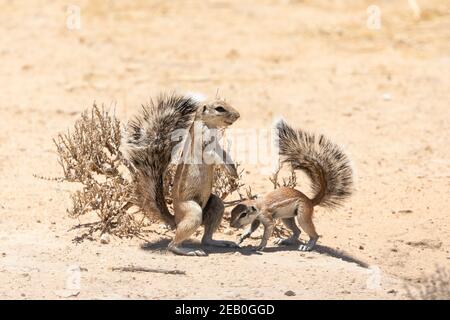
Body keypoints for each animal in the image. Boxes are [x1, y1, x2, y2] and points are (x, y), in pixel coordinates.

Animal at [119, 92, 239, 255]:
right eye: (219, 108)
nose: (238, 115)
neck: (208, 125)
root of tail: (175, 219)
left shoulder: (218, 145)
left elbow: (224, 154)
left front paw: (233, 171)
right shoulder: (204, 142)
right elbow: (213, 156)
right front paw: (229, 171)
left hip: (216, 204)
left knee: (206, 239)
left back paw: (222, 242)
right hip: (193, 213)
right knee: (173, 245)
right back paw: (190, 251)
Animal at [230, 119, 354, 251]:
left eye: (243, 214)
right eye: (232, 212)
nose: (231, 224)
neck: (258, 205)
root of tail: (310, 201)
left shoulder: (266, 217)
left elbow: (267, 231)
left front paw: (260, 246)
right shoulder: (257, 219)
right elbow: (250, 229)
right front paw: (241, 238)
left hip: (302, 215)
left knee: (313, 234)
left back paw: (307, 246)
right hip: (287, 218)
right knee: (297, 231)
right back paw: (284, 240)